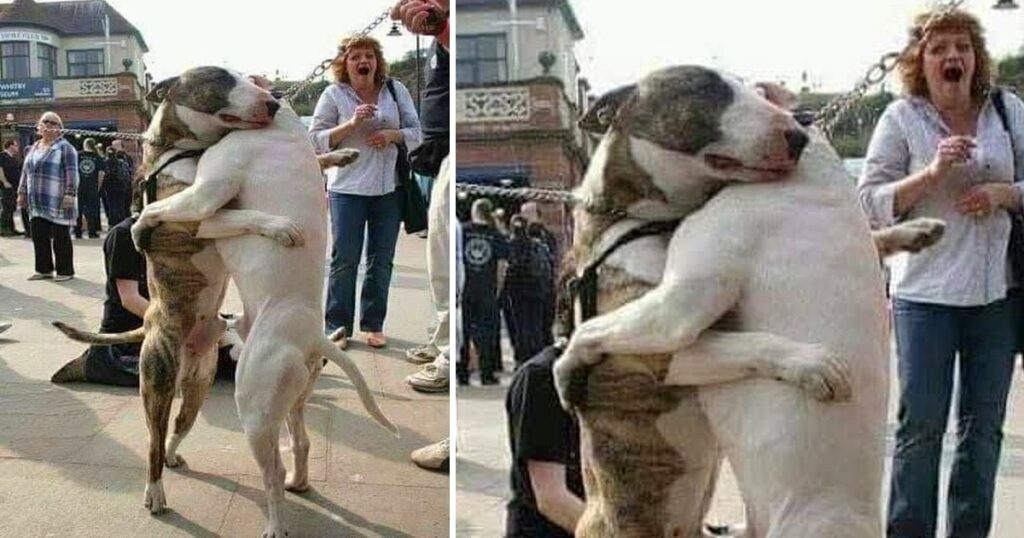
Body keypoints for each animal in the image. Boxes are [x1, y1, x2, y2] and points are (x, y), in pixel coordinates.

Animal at [51, 67, 397, 536]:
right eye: (220, 79)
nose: (271, 102)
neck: (182, 147)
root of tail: (315, 338)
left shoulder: (203, 201)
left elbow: (177, 209)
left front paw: (338, 159)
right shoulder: (201, 209)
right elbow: (200, 211)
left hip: (240, 395)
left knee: (258, 453)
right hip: (187, 386)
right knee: (160, 440)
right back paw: (162, 489)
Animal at [552, 66, 942, 536]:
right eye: (706, 88)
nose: (796, 137)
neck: (634, 217)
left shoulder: (673, 312)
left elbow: (592, 328)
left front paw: (915, 231)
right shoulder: (667, 337)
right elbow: (741, 341)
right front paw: (812, 364)